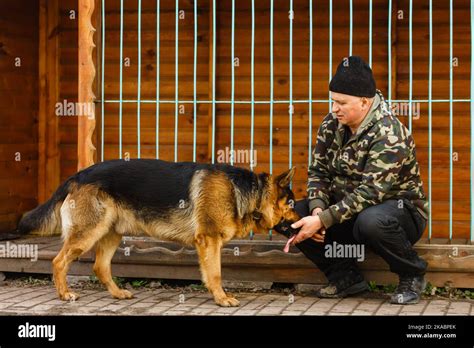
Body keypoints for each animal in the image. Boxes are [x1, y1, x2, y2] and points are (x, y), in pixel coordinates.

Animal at [5, 159, 298, 306]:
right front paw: (222, 298)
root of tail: (77, 175)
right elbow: (215, 274)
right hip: (87, 234)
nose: (304, 217)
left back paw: (117, 294)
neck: (249, 193)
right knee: (58, 261)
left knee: (100, 267)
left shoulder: (208, 244)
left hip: (111, 234)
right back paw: (65, 294)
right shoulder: (209, 241)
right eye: (293, 204)